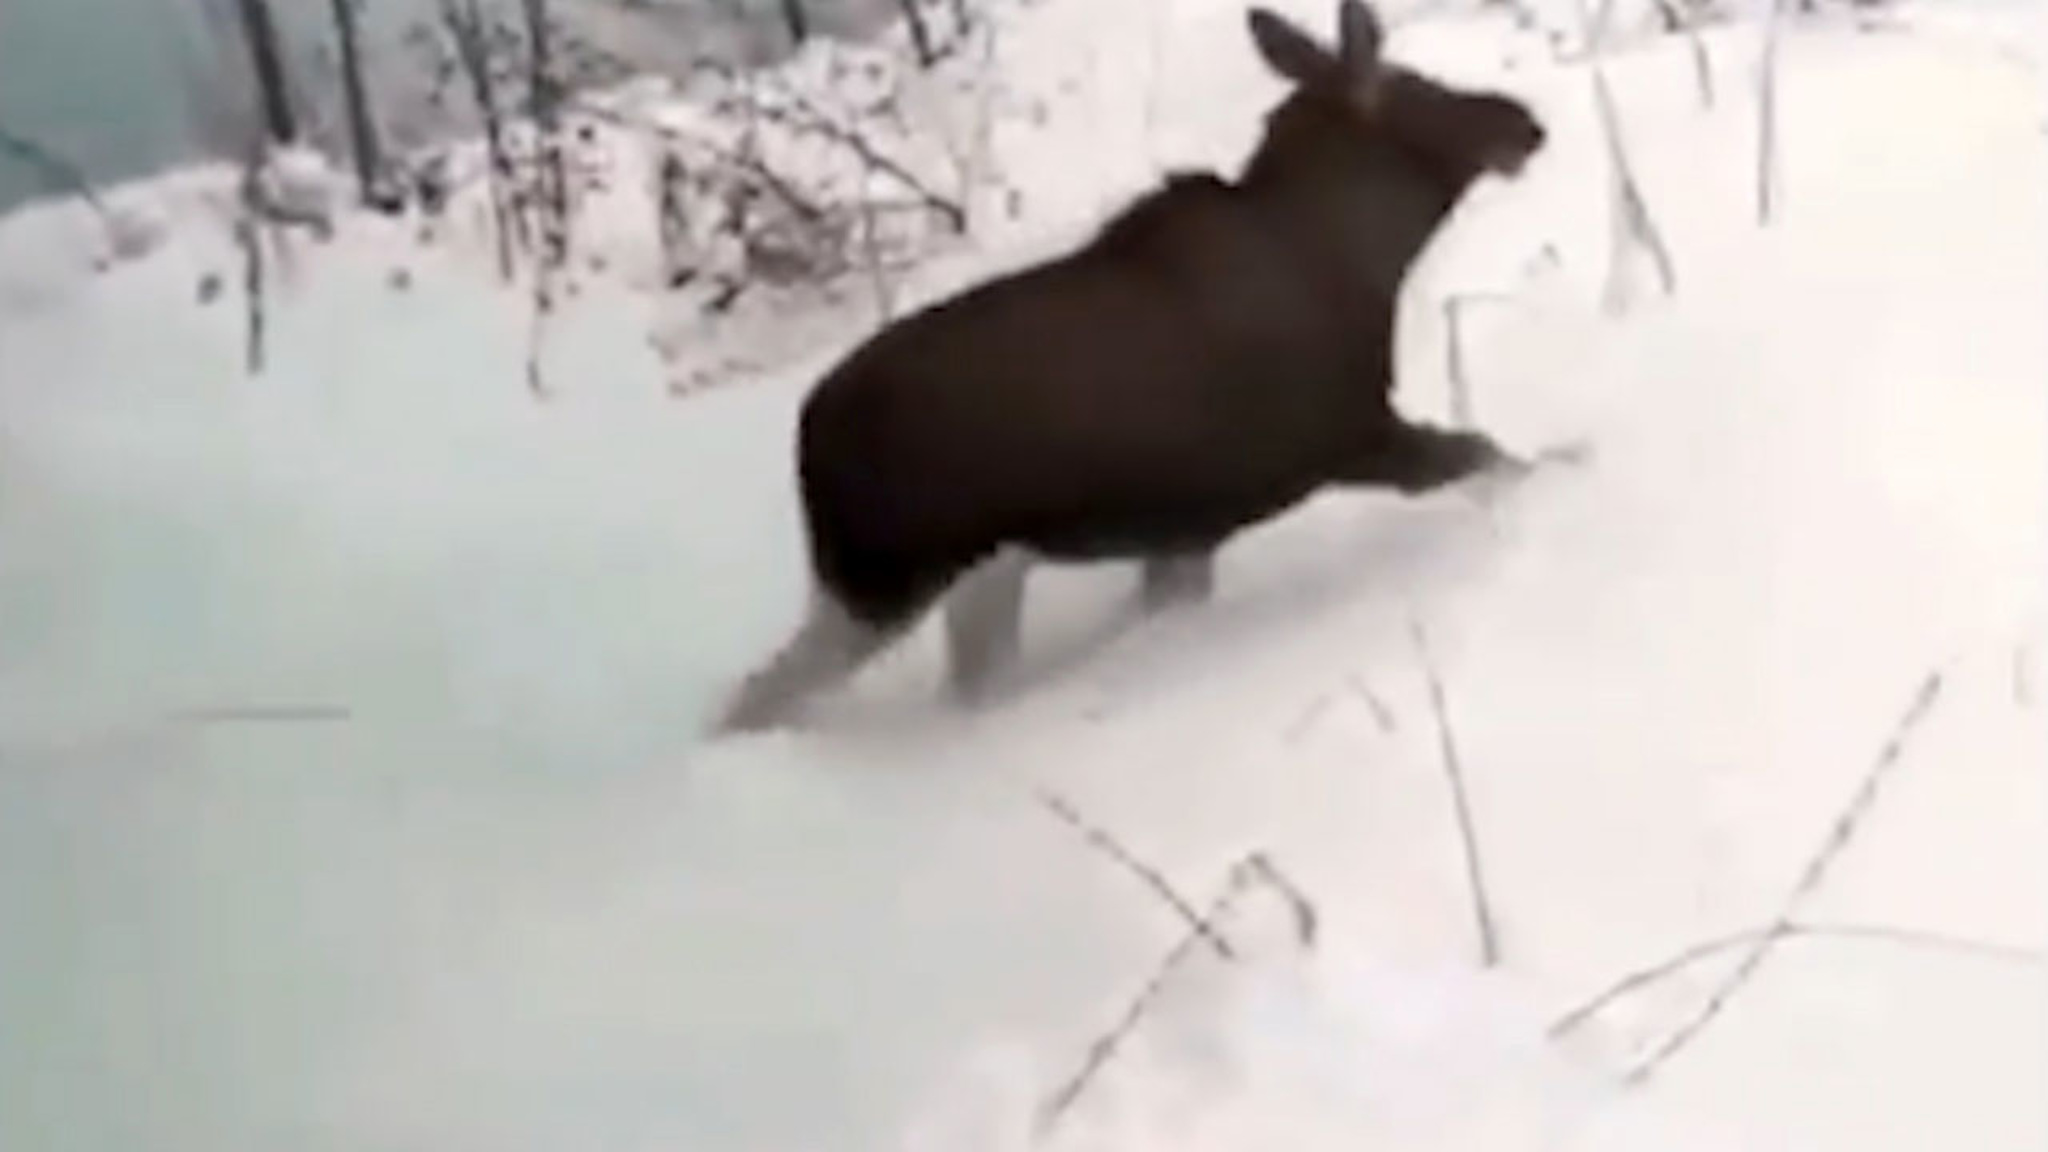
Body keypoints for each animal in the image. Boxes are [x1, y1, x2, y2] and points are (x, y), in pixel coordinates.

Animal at [716, 0, 1549, 734]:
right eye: (1417, 86)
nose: (1524, 120)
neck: (1366, 259)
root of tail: (807, 444)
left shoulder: (1190, 528)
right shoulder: (1350, 438)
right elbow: (1493, 454)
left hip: (963, 575)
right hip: (885, 581)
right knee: (755, 699)